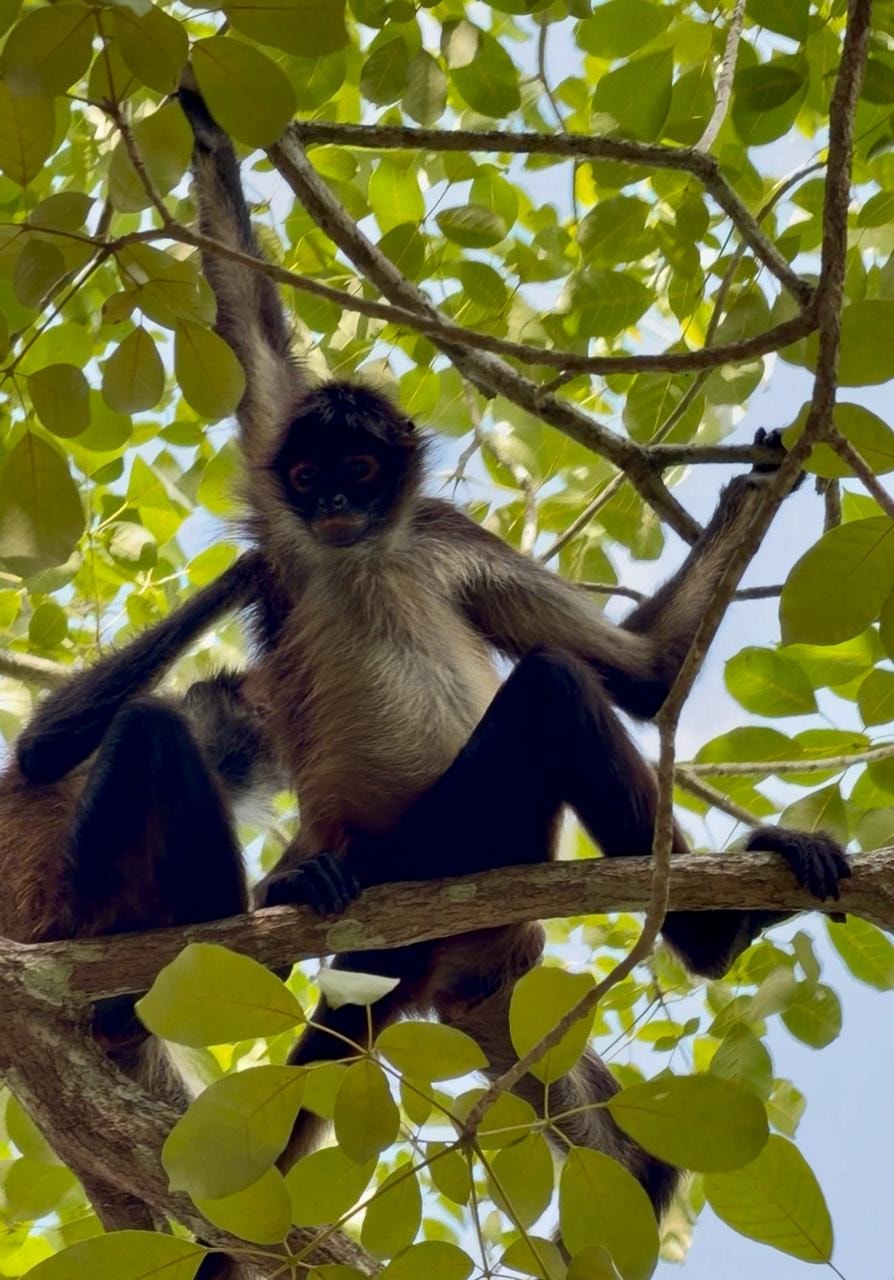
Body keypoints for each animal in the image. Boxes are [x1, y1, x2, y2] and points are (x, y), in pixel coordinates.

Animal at [177, 86, 850, 1225]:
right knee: (549, 688)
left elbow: (644, 673)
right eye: (310, 474)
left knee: (564, 688)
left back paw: (715, 929)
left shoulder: (443, 533)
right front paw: (199, 113)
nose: (338, 499)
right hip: (435, 844)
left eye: (360, 467)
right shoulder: (281, 512)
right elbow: (247, 321)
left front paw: (754, 491)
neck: (366, 550)